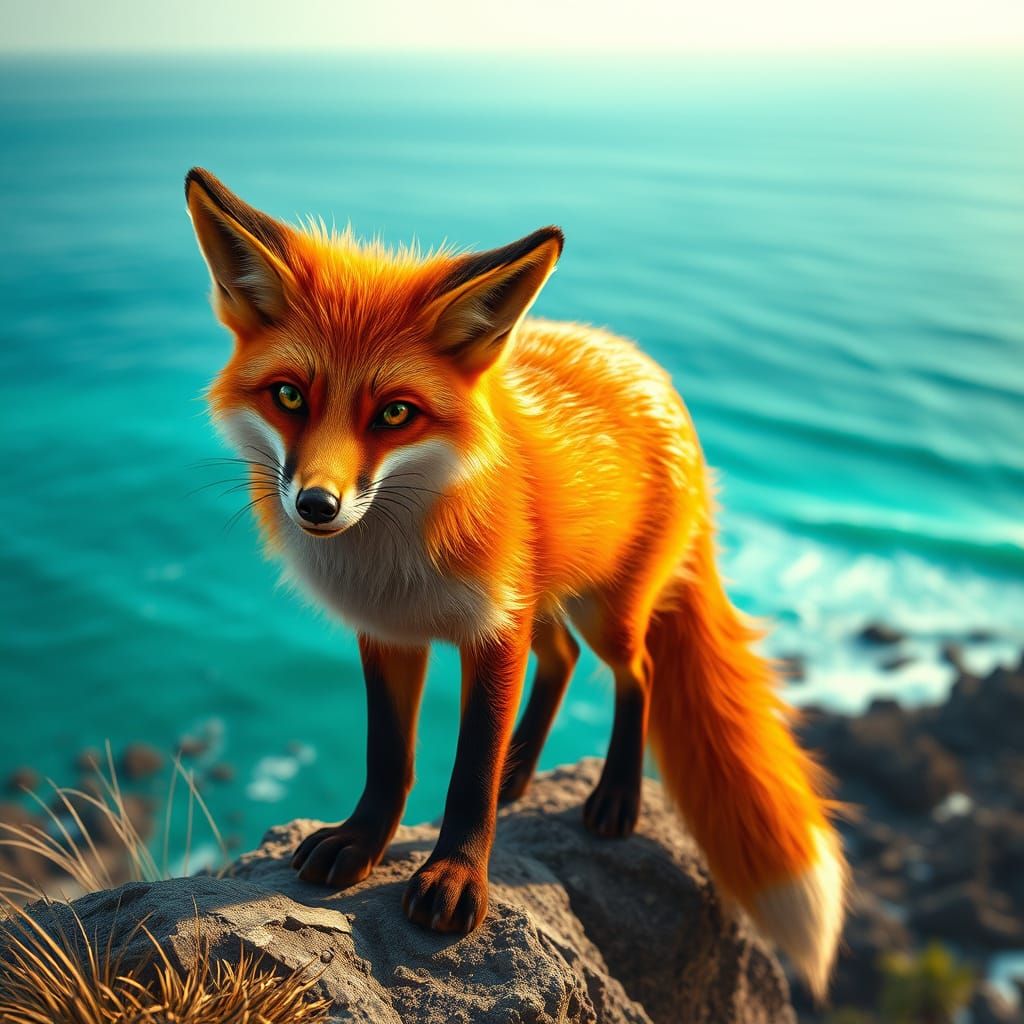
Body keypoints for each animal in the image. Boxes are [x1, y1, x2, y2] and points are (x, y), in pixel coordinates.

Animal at [185, 167, 847, 997]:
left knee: (637, 671)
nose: (316, 505)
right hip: (547, 601)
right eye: (290, 396)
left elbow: (468, 771)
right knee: (561, 660)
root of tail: (644, 365)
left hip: (606, 610)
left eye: (394, 414)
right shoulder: (390, 634)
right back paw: (522, 771)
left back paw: (615, 796)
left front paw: (457, 880)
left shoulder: (493, 633)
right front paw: (362, 841)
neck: (399, 556)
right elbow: (389, 756)